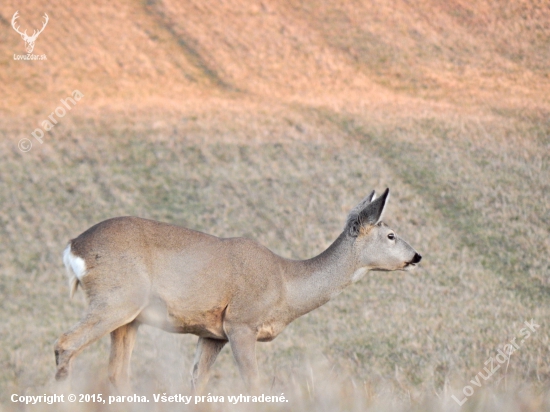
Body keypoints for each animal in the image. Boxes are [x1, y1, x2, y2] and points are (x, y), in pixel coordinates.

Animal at [56, 188, 422, 392]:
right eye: (391, 235)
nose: (417, 256)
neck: (286, 282)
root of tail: (74, 245)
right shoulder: (241, 324)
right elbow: (253, 384)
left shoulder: (212, 334)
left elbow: (197, 383)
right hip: (115, 298)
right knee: (65, 344)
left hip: (128, 317)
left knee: (117, 373)